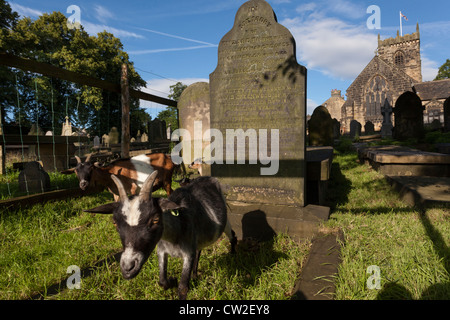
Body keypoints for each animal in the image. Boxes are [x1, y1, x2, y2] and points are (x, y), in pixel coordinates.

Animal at [85, 171, 237, 298]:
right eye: (115, 223)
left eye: (155, 220)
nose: (128, 268)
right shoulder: (162, 250)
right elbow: (162, 281)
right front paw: (172, 280)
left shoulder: (188, 252)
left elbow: (183, 287)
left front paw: (178, 284)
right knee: (199, 250)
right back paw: (195, 275)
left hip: (225, 223)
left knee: (232, 235)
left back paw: (233, 254)